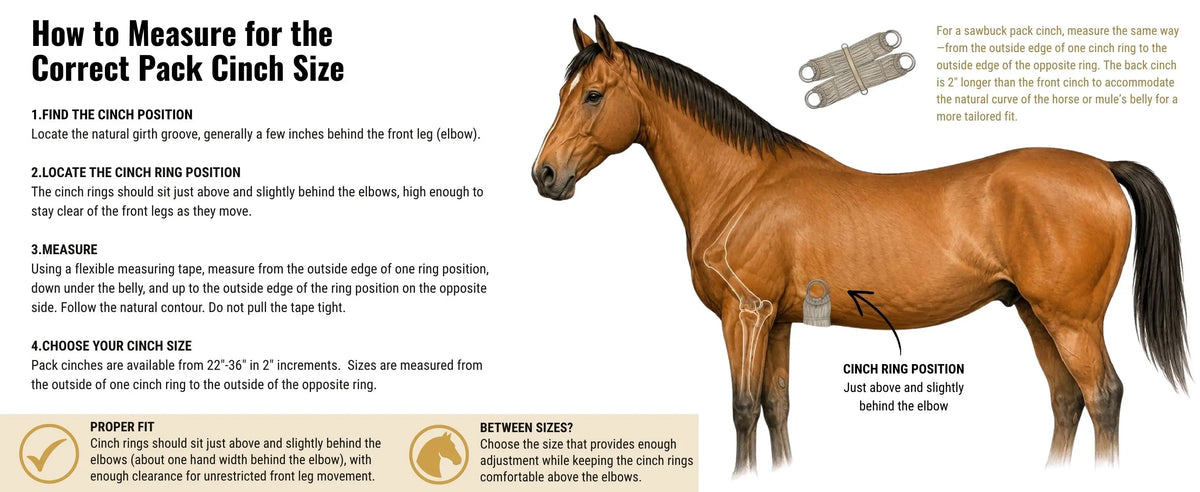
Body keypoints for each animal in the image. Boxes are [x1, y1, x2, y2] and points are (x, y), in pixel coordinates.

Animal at [531, 17, 1187, 476]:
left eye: (593, 95)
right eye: (562, 93)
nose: (545, 175)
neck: (744, 186)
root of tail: (1102, 168)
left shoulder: (744, 316)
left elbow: (743, 409)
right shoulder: (777, 322)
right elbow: (776, 407)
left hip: (1072, 319)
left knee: (1102, 397)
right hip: (1034, 313)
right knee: (1066, 400)